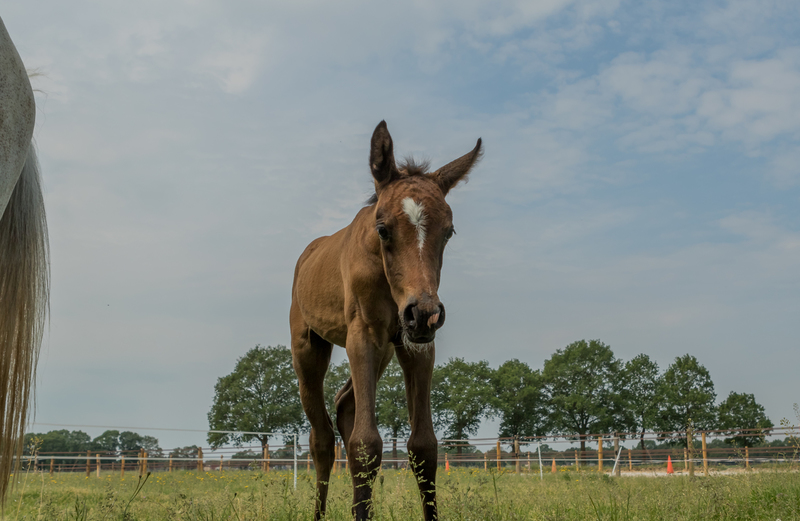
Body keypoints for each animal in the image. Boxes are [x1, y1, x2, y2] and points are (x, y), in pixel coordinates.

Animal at [290, 121, 481, 520]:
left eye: (449, 231)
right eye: (382, 229)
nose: (424, 312)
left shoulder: (416, 345)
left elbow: (424, 445)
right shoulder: (362, 335)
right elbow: (365, 443)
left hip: (385, 351)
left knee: (345, 404)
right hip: (309, 348)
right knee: (322, 438)